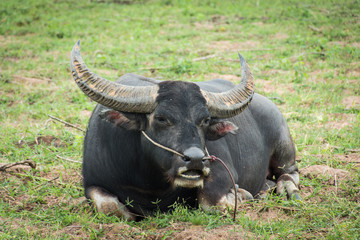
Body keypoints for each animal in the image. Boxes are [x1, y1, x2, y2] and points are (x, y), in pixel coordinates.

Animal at [69, 40, 298, 220]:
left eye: (205, 120)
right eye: (161, 118)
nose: (196, 160)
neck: (151, 182)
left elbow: (213, 202)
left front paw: (241, 194)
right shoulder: (92, 182)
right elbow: (110, 207)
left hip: (284, 147)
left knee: (289, 173)